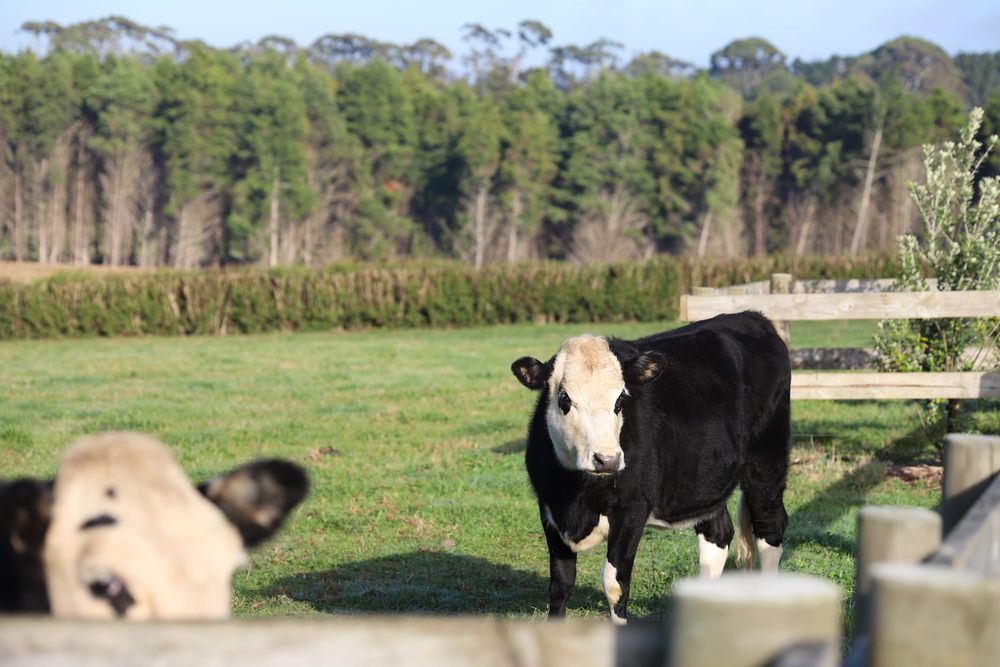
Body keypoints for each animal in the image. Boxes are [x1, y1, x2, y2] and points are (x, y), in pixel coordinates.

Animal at [510, 311, 791, 624]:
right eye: (564, 399)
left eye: (621, 399)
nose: (607, 459)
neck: (576, 496)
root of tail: (752, 317)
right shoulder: (549, 509)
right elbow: (560, 582)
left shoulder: (632, 508)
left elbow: (614, 582)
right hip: (705, 481)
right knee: (718, 532)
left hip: (767, 462)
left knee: (769, 528)